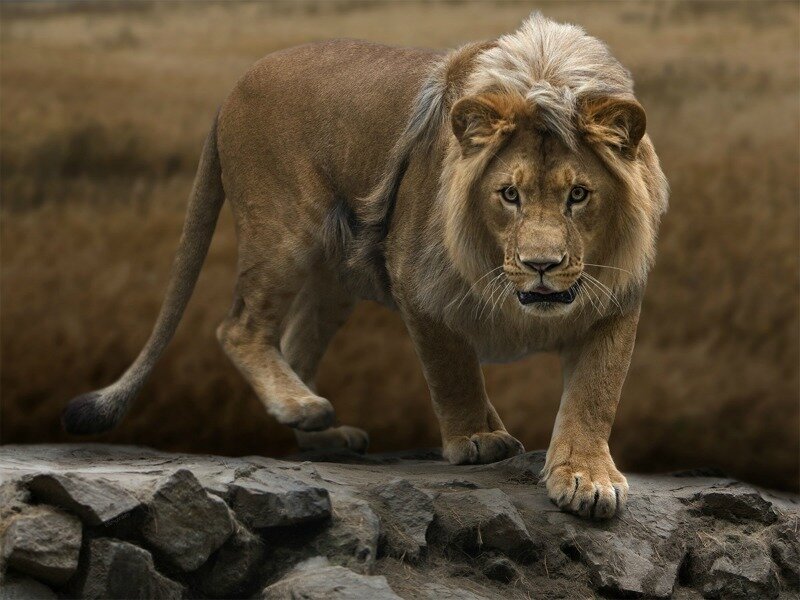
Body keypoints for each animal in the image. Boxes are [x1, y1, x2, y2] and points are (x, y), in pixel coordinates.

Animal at [63, 13, 668, 520]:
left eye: (579, 195)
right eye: (509, 194)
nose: (541, 265)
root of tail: (231, 88)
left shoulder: (615, 296)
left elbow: (595, 393)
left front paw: (587, 477)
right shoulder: (417, 282)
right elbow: (453, 370)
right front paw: (477, 438)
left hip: (334, 284)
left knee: (292, 344)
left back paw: (322, 433)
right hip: (284, 229)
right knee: (238, 327)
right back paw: (303, 407)